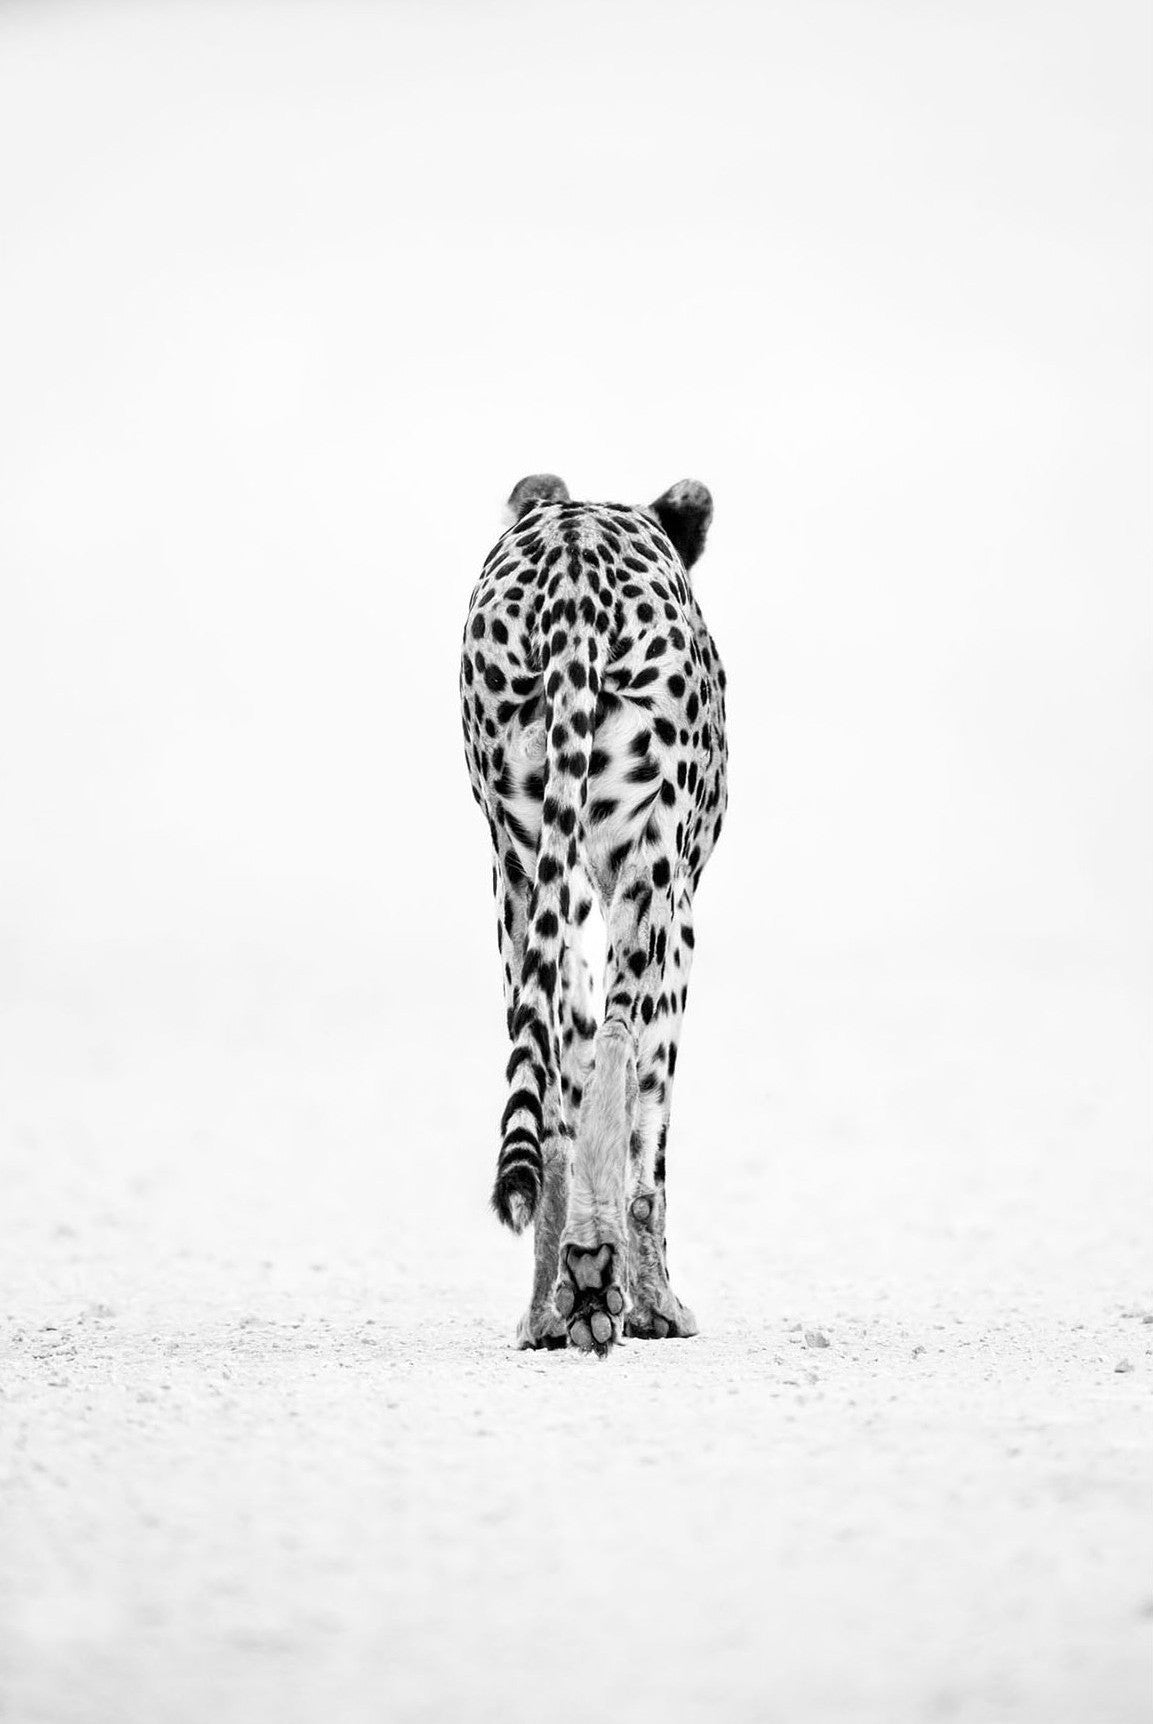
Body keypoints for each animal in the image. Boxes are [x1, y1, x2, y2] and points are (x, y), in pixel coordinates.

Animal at [460, 474, 728, 1354]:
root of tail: (571, 566)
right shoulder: (671, 906)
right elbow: (651, 1136)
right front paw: (653, 1302)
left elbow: (564, 1079)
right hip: (648, 883)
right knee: (617, 1050)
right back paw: (596, 1275)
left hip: (521, 868)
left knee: (549, 1078)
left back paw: (553, 1305)